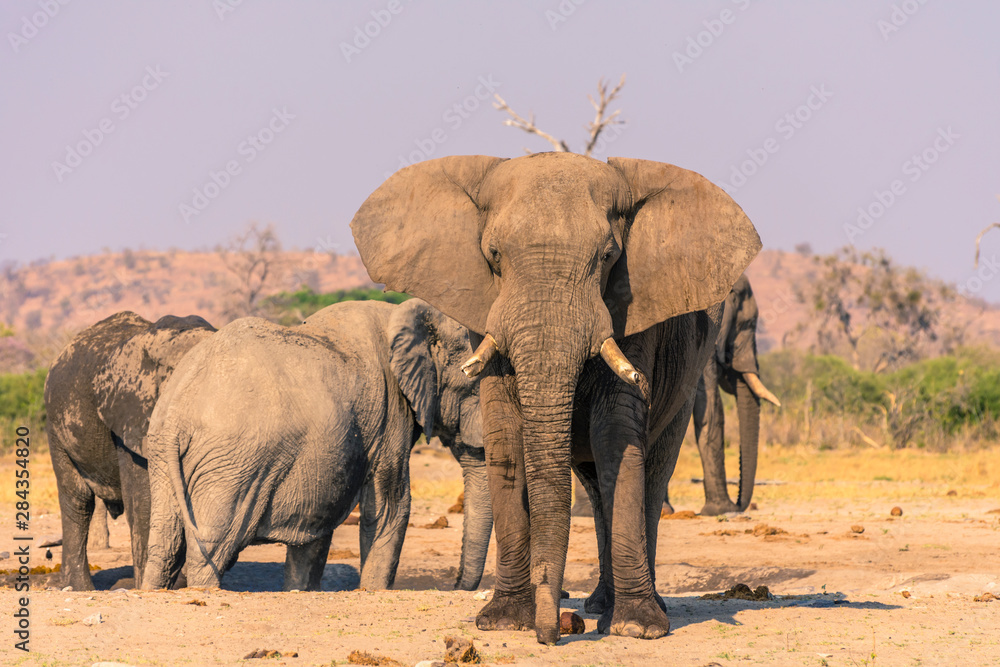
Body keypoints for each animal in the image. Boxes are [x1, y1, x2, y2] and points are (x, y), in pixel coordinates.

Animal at [43, 311, 216, 590]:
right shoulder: (132, 415)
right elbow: (145, 500)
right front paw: (152, 586)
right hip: (55, 425)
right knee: (78, 498)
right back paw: (80, 588)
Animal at [141, 298, 491, 593]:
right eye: (474, 383)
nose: (455, 588)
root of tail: (176, 416)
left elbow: (316, 522)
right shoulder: (391, 414)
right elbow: (392, 507)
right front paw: (372, 591)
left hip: (165, 459)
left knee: (164, 544)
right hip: (231, 465)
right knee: (212, 547)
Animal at [350, 152, 760, 643]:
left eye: (609, 257)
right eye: (493, 255)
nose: (552, 632)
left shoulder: (633, 310)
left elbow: (615, 432)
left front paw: (637, 629)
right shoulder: (485, 314)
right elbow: (506, 433)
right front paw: (503, 621)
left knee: (651, 471)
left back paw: (631, 610)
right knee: (597, 486)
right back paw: (599, 604)